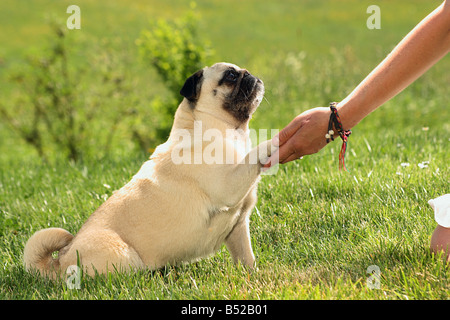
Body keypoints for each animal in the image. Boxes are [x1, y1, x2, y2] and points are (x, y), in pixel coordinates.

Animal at [24, 62, 278, 278]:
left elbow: (246, 257)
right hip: (125, 256)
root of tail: (59, 263)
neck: (226, 130)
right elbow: (253, 154)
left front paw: (253, 275)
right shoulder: (228, 185)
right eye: (231, 76)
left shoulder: (238, 225)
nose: (250, 75)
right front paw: (273, 142)